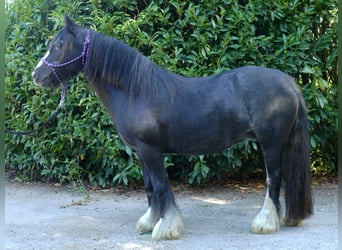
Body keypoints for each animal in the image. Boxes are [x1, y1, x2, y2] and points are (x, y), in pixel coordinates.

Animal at [32, 16, 312, 240]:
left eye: (58, 45)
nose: (37, 75)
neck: (136, 91)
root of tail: (288, 82)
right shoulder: (142, 153)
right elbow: (149, 187)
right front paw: (149, 221)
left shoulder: (152, 151)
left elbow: (160, 186)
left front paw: (166, 228)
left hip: (270, 144)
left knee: (274, 179)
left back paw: (264, 223)